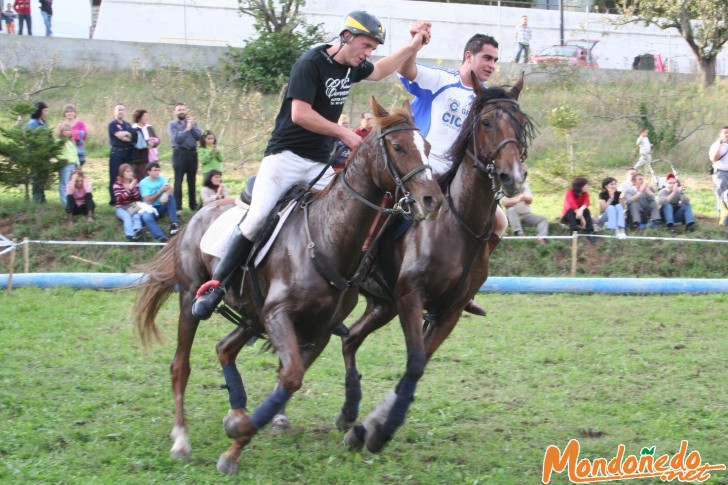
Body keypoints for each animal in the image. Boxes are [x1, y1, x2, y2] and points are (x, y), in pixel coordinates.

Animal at [135, 98, 444, 472]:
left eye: (427, 146)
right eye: (398, 147)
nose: (433, 200)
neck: (328, 238)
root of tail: (195, 216)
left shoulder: (318, 328)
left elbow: (291, 377)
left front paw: (241, 430)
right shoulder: (278, 314)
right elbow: (292, 375)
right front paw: (237, 443)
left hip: (252, 314)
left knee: (225, 348)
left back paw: (236, 411)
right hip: (192, 301)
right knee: (181, 364)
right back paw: (181, 439)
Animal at [336, 73, 536, 452]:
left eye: (521, 123)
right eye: (486, 122)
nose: (512, 176)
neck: (458, 224)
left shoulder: (450, 311)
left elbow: (418, 365)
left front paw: (370, 426)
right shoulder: (411, 297)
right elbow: (415, 363)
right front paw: (381, 430)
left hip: (382, 306)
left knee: (350, 339)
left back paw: (348, 413)